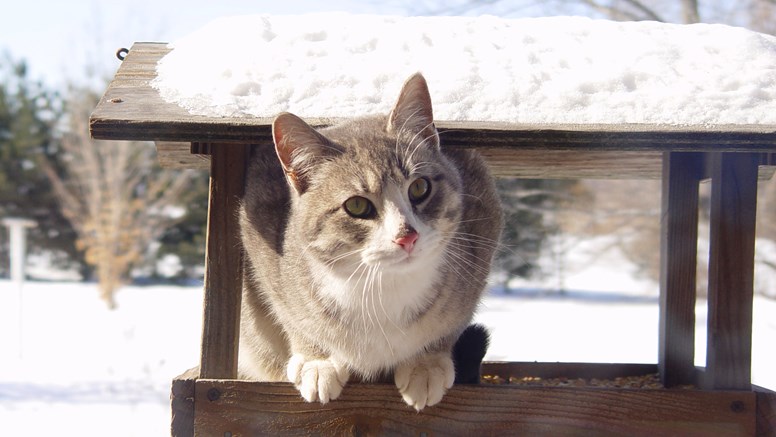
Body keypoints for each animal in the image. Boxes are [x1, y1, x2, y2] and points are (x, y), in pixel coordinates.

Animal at [238, 71, 504, 408]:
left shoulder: (483, 228)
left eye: (420, 187)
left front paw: (425, 365)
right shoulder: (259, 230)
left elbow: (450, 324)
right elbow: (292, 315)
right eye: (356, 205)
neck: (380, 287)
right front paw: (318, 361)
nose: (407, 236)